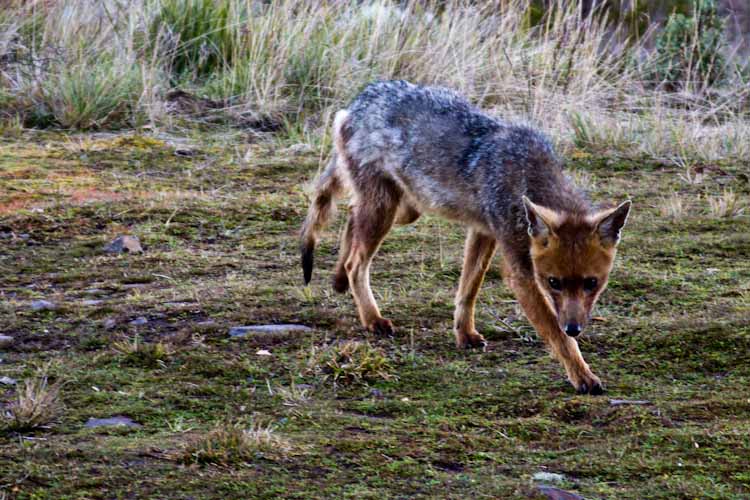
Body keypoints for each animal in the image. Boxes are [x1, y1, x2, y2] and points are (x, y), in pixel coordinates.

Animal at [302, 81, 632, 394]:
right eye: (554, 283)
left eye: (592, 283)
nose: (574, 327)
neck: (527, 173)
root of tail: (360, 100)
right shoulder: (520, 272)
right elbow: (554, 332)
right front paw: (582, 374)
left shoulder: (483, 231)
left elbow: (468, 289)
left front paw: (464, 333)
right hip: (385, 210)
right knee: (357, 262)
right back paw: (371, 317)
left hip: (405, 209)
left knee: (351, 215)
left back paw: (339, 280)